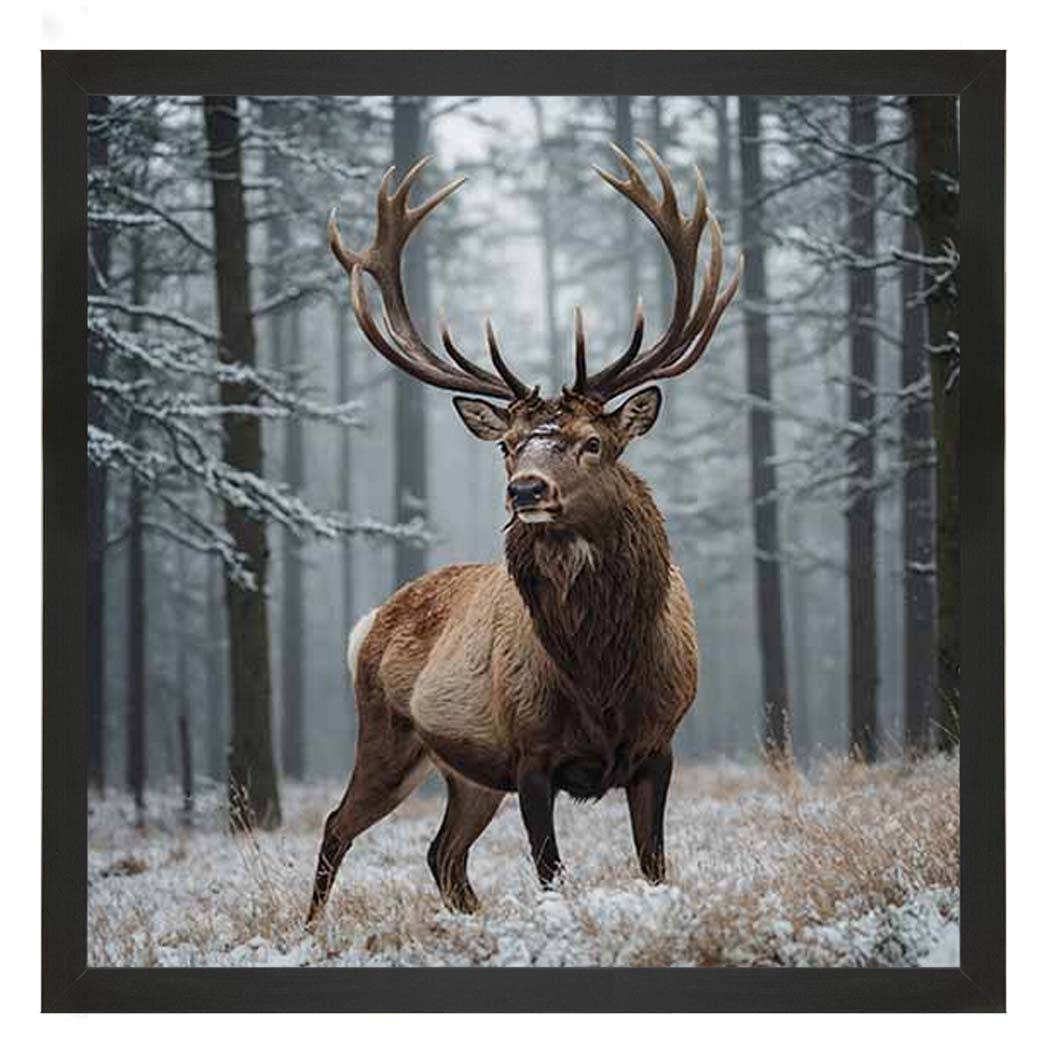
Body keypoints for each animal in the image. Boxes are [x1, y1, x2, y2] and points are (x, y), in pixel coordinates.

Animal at [307, 140, 741, 922]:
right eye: (508, 446)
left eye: (593, 442)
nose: (526, 490)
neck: (602, 676)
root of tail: (370, 621)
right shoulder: (530, 753)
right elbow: (550, 871)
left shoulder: (660, 745)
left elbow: (654, 864)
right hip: (389, 735)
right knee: (338, 823)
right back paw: (311, 928)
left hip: (468, 775)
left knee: (442, 854)